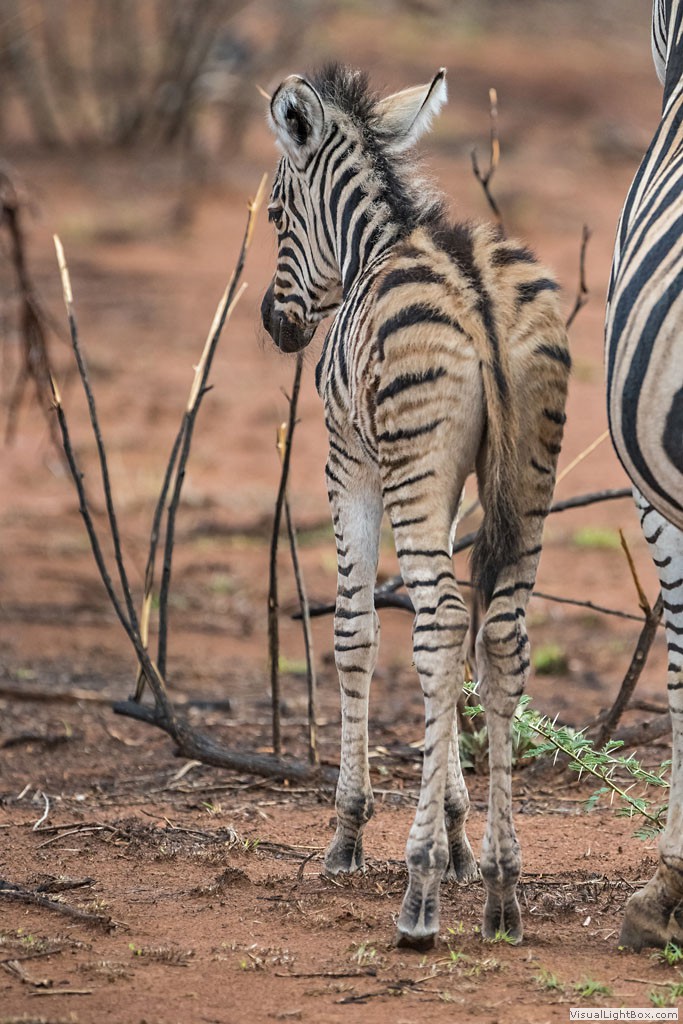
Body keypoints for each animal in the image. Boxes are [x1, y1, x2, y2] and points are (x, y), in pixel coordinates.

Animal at [261, 63, 570, 948]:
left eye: (275, 215)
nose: (273, 324)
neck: (372, 246)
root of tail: (475, 288)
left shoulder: (351, 465)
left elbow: (355, 632)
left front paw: (350, 832)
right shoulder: (459, 480)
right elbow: (460, 652)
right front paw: (464, 836)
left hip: (411, 466)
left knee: (435, 628)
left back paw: (418, 893)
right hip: (529, 475)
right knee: (498, 635)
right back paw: (501, 891)